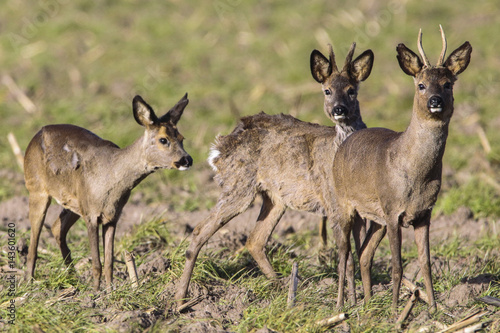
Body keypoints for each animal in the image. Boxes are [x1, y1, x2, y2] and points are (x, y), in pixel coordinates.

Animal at [24, 94, 193, 290]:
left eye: (182, 138)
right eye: (163, 139)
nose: (187, 159)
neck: (111, 180)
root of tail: (36, 135)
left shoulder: (112, 215)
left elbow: (109, 262)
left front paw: (110, 290)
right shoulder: (91, 215)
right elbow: (97, 263)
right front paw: (96, 292)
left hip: (74, 203)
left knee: (57, 227)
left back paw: (73, 278)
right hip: (36, 187)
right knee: (34, 239)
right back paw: (28, 282)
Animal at [176, 44, 376, 306]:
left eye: (352, 90)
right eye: (327, 90)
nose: (338, 109)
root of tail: (219, 147)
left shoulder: (358, 209)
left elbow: (361, 253)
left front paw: (363, 301)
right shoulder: (333, 203)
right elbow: (348, 256)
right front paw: (346, 304)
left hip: (275, 197)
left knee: (254, 240)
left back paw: (284, 288)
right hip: (238, 187)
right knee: (201, 230)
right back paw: (180, 298)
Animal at [334, 27, 470, 310]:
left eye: (448, 83)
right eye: (421, 85)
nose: (435, 101)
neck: (415, 175)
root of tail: (344, 143)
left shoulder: (424, 213)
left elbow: (426, 263)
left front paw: (433, 308)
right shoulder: (393, 210)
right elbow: (397, 266)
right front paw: (397, 310)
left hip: (377, 218)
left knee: (364, 254)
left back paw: (368, 304)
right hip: (344, 203)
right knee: (343, 255)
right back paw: (341, 306)